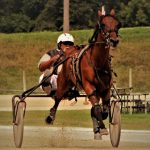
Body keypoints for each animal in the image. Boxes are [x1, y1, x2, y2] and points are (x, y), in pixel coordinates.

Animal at [46, 9, 121, 138]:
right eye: (103, 25)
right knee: (57, 99)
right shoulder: (89, 86)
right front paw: (102, 127)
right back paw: (51, 116)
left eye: (117, 24)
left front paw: (99, 122)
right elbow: (97, 108)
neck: (98, 62)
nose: (114, 41)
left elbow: (104, 109)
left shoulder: (106, 88)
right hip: (62, 84)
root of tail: (68, 53)